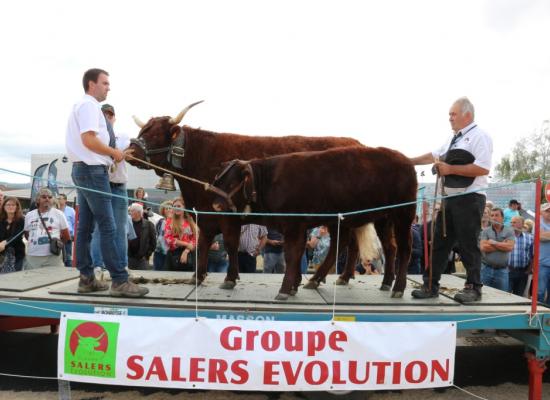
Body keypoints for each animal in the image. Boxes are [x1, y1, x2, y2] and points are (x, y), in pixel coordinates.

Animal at [129, 104, 362, 290]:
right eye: (142, 130)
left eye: (156, 134)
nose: (130, 151)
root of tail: (357, 143)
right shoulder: (206, 214)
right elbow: (203, 242)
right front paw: (198, 276)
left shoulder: (227, 214)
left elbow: (231, 244)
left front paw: (230, 278)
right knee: (352, 243)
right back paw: (342, 277)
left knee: (342, 243)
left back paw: (320, 278)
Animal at [211, 145, 418, 298]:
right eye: (217, 181)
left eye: (232, 183)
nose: (216, 205)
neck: (268, 181)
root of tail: (405, 160)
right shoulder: (297, 228)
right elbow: (296, 253)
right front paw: (293, 285)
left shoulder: (293, 226)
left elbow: (291, 254)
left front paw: (284, 290)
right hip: (381, 219)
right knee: (387, 247)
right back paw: (382, 282)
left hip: (403, 216)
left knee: (404, 248)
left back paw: (398, 288)